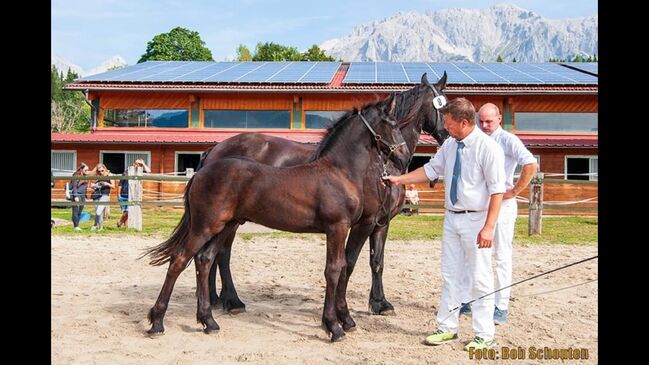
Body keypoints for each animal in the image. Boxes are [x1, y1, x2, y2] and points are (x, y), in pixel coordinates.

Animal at [146, 94, 410, 342]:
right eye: (393, 124)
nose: (405, 157)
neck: (339, 172)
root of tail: (198, 174)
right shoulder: (338, 227)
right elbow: (335, 270)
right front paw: (334, 326)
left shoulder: (348, 228)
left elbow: (343, 267)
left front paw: (344, 320)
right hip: (204, 226)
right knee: (179, 259)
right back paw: (157, 322)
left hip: (224, 226)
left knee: (204, 259)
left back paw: (208, 321)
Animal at [200, 72, 448, 314]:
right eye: (442, 105)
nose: (447, 134)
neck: (378, 165)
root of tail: (214, 150)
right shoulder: (364, 222)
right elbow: (349, 262)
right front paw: (341, 310)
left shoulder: (381, 223)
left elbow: (377, 261)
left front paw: (379, 303)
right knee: (221, 254)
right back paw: (232, 301)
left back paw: (215, 299)